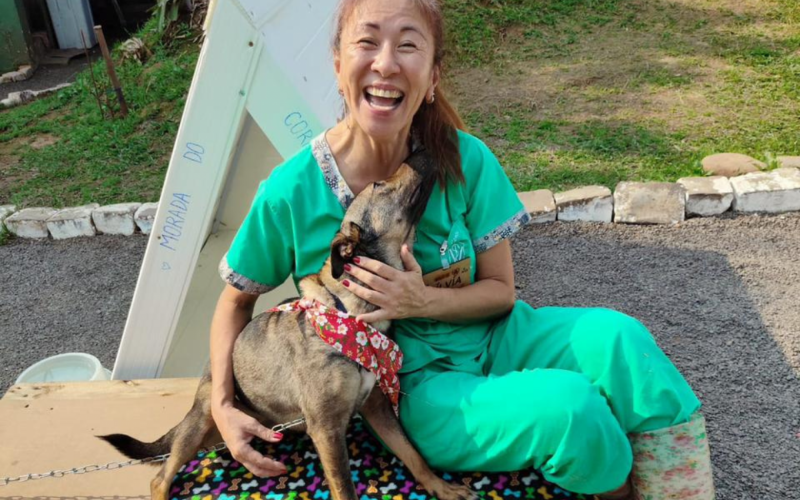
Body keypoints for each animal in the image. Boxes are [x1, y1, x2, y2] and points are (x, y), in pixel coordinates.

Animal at [100, 148, 476, 500]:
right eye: (378, 184)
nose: (421, 148)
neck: (351, 314)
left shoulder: (378, 406)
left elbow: (412, 454)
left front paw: (441, 486)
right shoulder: (326, 427)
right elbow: (345, 488)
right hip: (206, 413)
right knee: (160, 477)